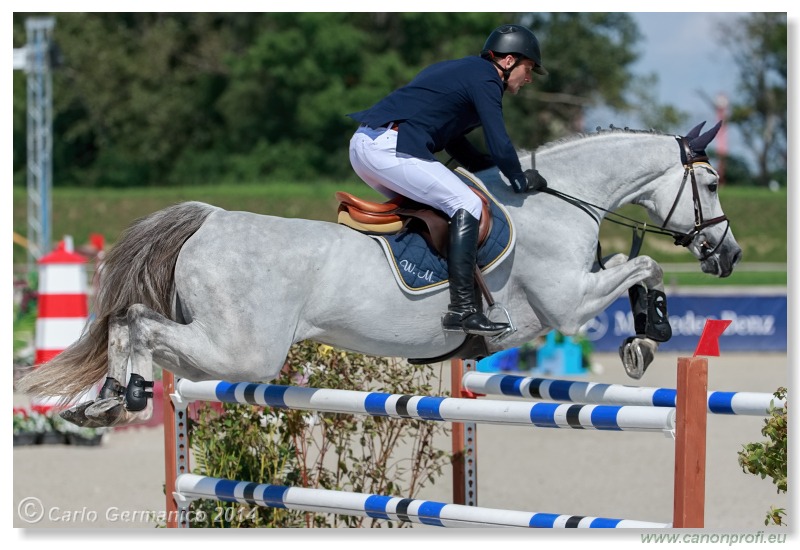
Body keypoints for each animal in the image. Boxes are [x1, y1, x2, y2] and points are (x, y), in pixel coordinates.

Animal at [17, 123, 744, 430]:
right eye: (710, 181)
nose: (729, 254)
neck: (560, 199)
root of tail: (211, 219)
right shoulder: (567, 304)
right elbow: (643, 264)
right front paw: (648, 332)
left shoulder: (569, 301)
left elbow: (632, 264)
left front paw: (646, 328)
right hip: (245, 350)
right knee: (139, 323)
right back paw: (122, 393)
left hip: (222, 347)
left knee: (140, 332)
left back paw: (108, 397)